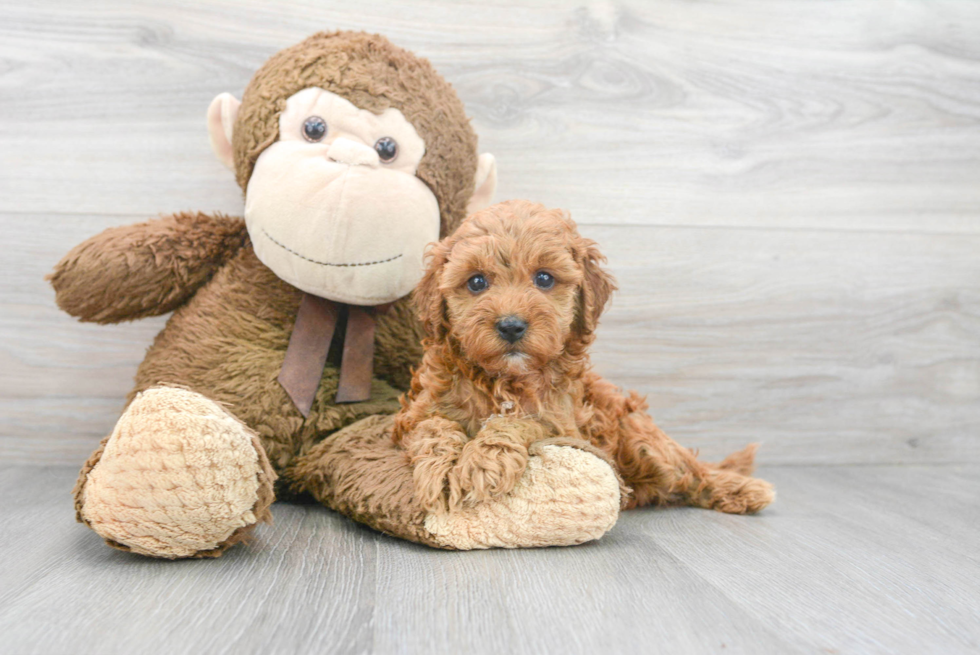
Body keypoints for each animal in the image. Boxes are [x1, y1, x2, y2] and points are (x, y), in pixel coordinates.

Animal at [392, 200, 772, 516]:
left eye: (544, 278)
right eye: (476, 282)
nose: (511, 326)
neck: (506, 380)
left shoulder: (562, 422)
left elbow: (520, 421)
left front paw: (482, 465)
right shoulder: (414, 415)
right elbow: (435, 427)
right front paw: (440, 472)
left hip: (641, 440)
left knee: (691, 472)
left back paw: (744, 489)